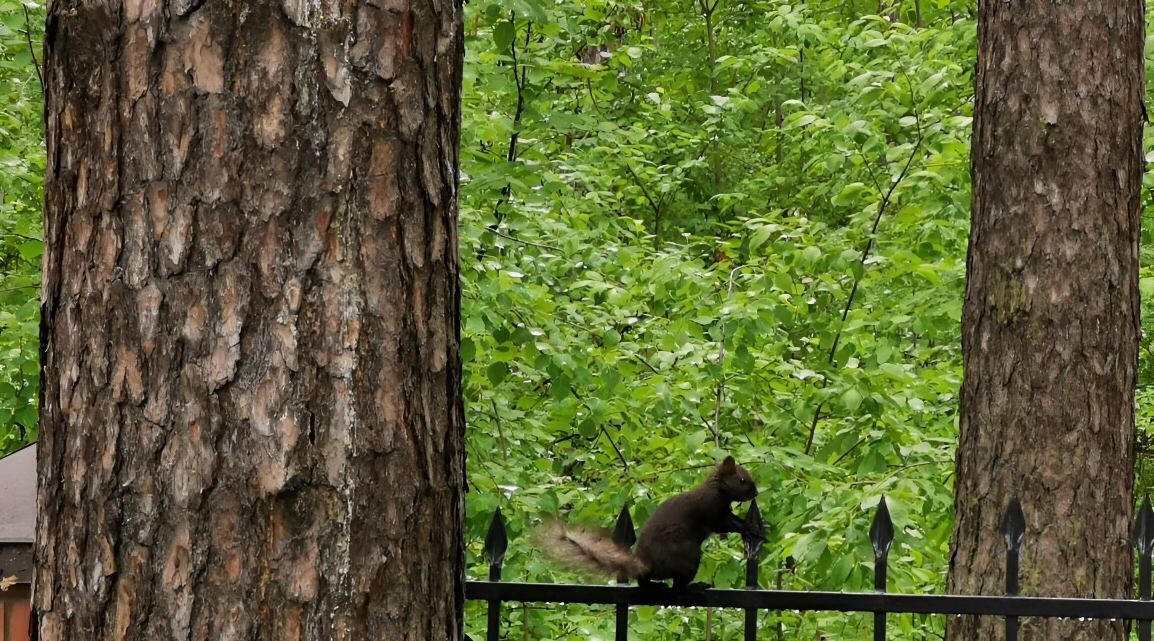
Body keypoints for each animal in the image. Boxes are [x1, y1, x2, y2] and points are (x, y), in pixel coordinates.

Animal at [544, 457, 761, 591]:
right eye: (742, 480)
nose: (756, 492)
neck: (717, 490)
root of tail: (645, 564)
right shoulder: (712, 512)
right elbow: (726, 525)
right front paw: (749, 528)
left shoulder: (725, 511)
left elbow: (734, 520)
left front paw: (754, 527)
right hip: (688, 555)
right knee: (677, 587)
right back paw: (695, 586)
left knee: (645, 582)